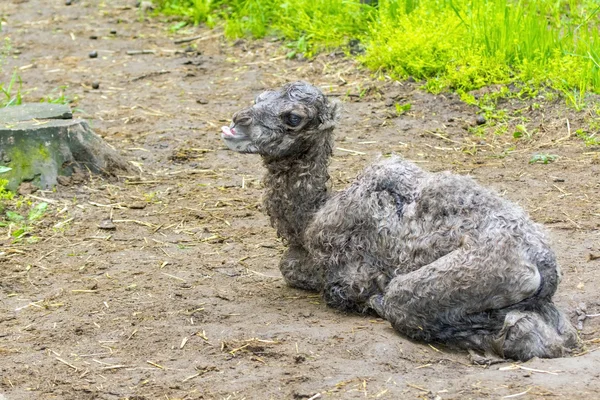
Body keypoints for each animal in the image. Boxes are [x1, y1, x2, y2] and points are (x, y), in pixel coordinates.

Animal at [223, 80, 580, 360]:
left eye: (293, 117)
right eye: (259, 97)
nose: (237, 122)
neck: (312, 216)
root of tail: (544, 265)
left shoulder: (352, 272)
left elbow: (311, 276)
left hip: (468, 275)